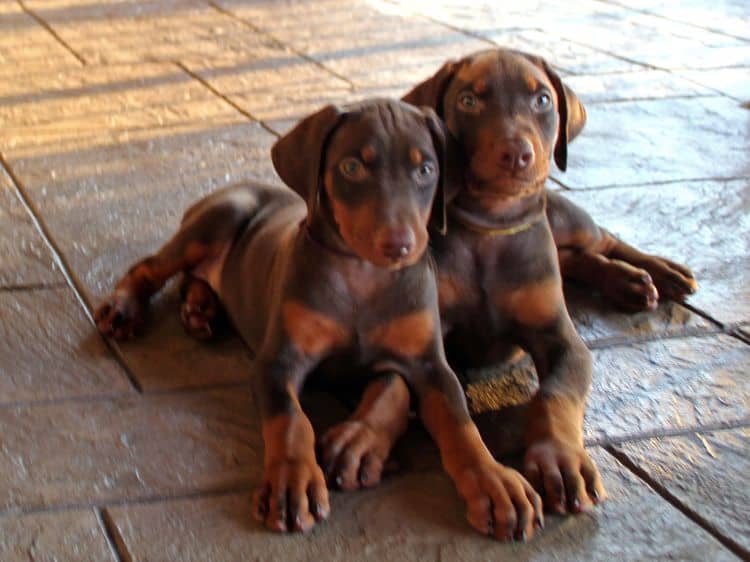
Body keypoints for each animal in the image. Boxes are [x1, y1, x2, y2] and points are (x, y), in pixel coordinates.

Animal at [97, 98, 548, 536]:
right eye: (351, 167)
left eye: (425, 170)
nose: (399, 245)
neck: (363, 276)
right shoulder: (278, 361)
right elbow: (291, 420)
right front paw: (292, 480)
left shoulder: (428, 363)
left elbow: (448, 416)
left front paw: (494, 481)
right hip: (218, 218)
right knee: (151, 267)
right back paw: (125, 309)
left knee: (195, 278)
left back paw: (199, 308)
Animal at [406, 48, 700, 310]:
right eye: (467, 101)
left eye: (543, 100)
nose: (517, 154)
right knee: (570, 258)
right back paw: (626, 281)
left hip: (566, 220)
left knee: (603, 239)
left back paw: (664, 270)